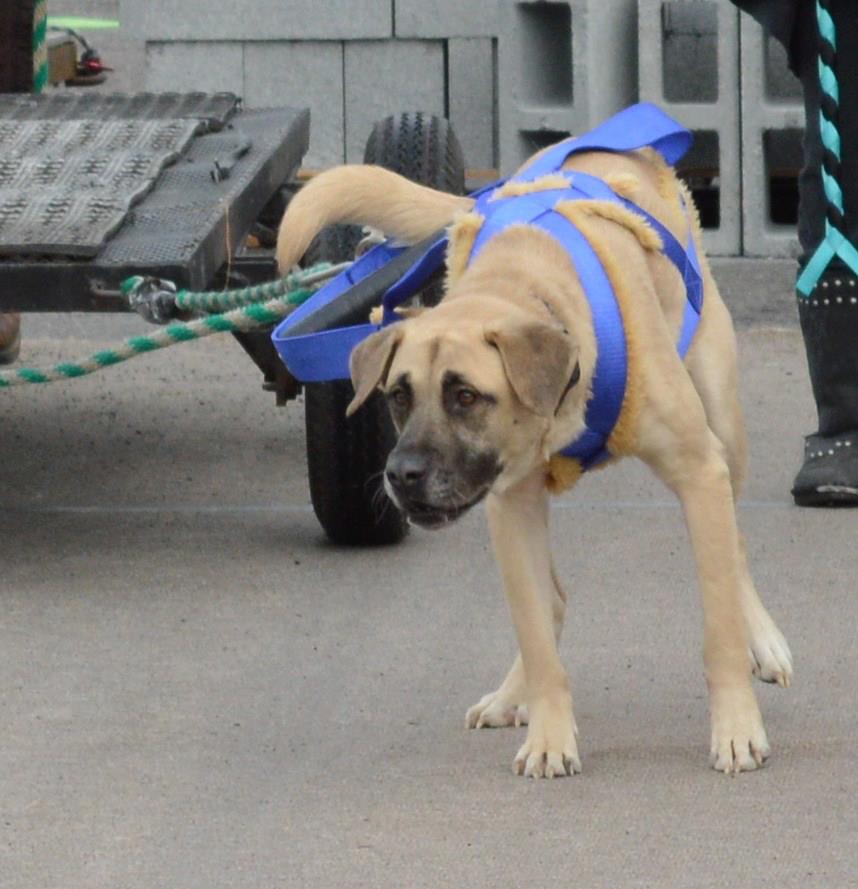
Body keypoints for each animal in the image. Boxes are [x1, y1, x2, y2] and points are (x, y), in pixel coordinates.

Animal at [276, 147, 788, 776]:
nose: (401, 475)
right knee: (550, 602)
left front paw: (736, 728)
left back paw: (762, 639)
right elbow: (538, 638)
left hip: (723, 426)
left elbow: (719, 629)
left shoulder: (697, 472)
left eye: (464, 396)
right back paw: (510, 693)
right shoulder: (511, 506)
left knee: (734, 546)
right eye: (397, 395)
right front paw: (549, 735)